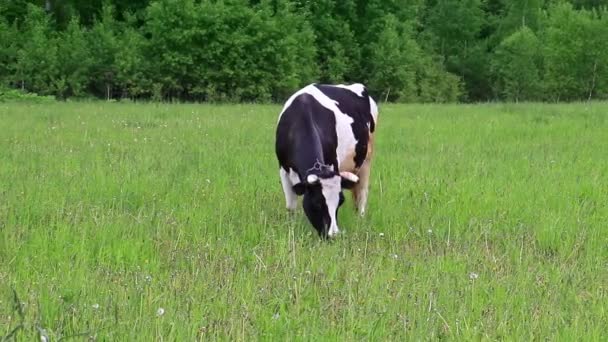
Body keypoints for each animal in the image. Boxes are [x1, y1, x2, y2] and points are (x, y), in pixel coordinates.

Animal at [276, 83, 380, 238]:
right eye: (317, 203)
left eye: (340, 202)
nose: (333, 235)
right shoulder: (283, 169)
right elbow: (291, 206)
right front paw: (291, 228)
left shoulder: (333, 164)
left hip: (367, 158)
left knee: (362, 193)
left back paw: (360, 219)